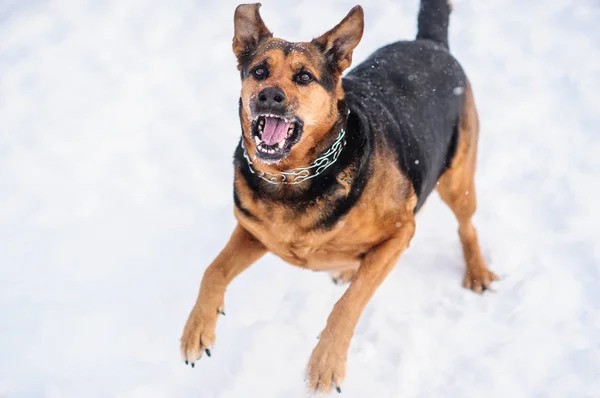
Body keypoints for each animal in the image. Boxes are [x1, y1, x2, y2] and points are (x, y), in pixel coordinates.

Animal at [180, 0, 500, 392]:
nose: (268, 95)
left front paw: (325, 364)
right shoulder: (254, 232)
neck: (292, 178)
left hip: (457, 179)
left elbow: (348, 304)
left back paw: (477, 272)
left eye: (304, 77)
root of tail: (429, 41)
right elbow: (213, 269)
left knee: (466, 225)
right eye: (259, 71)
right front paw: (196, 330)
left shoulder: (400, 231)